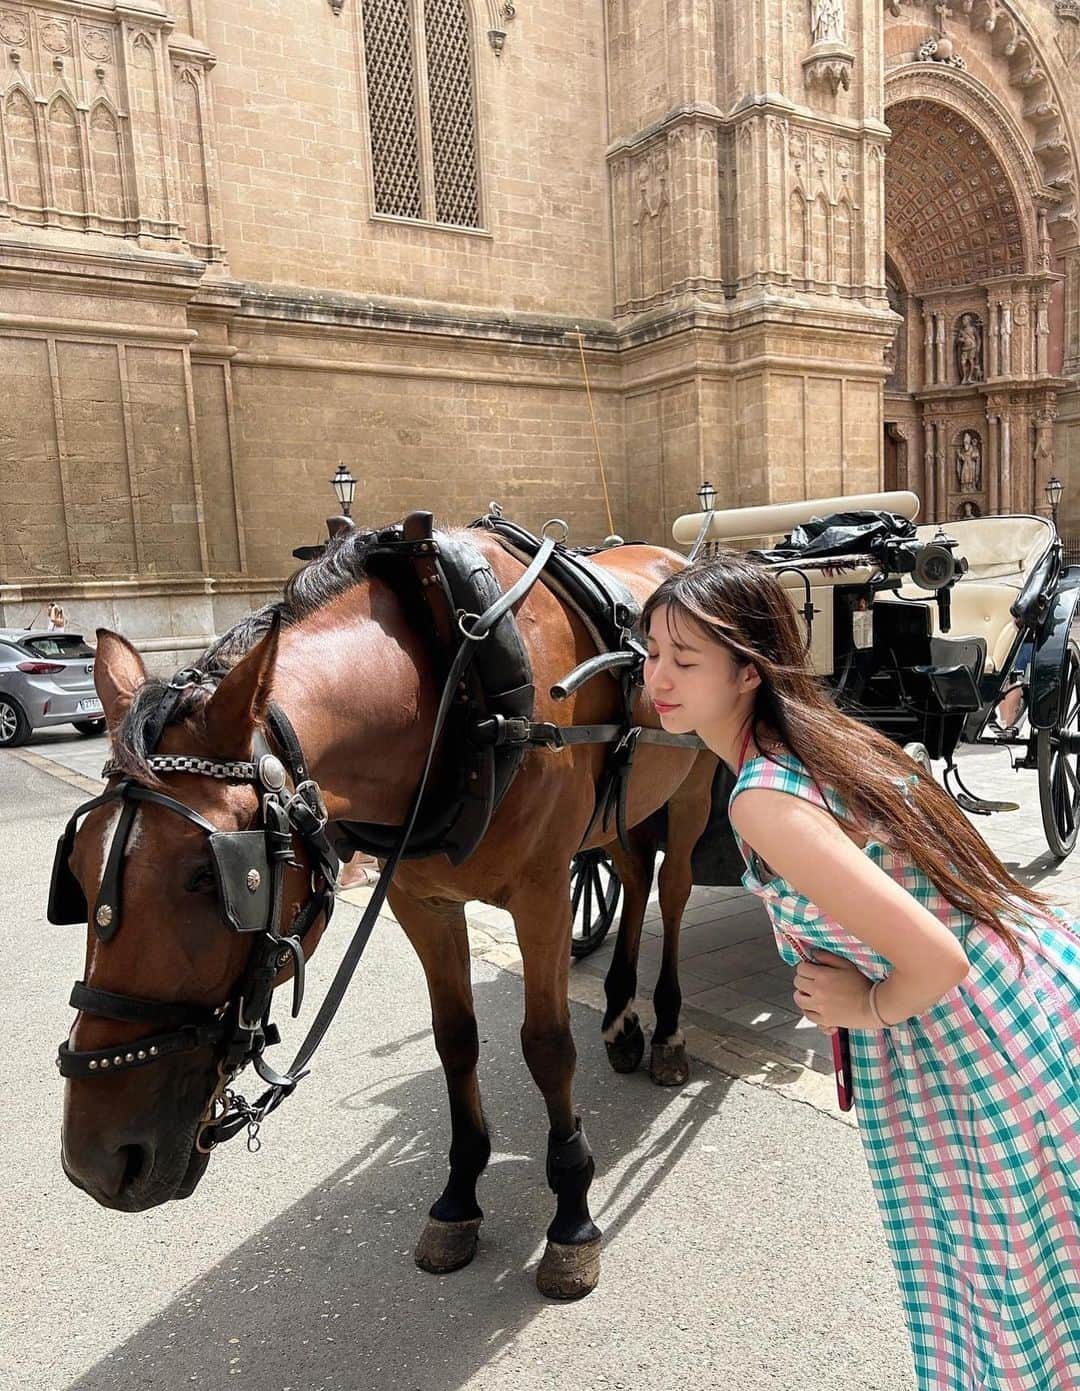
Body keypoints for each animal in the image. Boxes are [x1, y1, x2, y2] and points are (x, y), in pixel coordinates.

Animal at [59, 523, 718, 1290]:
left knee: (673, 891)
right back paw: (620, 1019)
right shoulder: (420, 899)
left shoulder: (544, 892)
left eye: (211, 877)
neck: (456, 691)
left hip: (694, 787)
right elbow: (454, 1039)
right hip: (623, 806)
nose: (97, 1160)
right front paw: (459, 1198)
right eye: (77, 869)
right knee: (635, 875)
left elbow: (547, 1046)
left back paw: (666, 1031)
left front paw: (572, 1217)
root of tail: (681, 557)